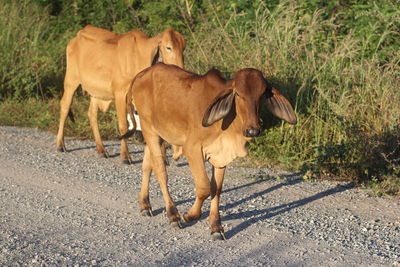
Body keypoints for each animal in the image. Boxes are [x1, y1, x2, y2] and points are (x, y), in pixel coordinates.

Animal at [130, 63, 296, 241]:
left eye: (262, 94)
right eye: (238, 93)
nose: (253, 130)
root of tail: (142, 74)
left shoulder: (221, 155)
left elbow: (216, 189)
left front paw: (216, 226)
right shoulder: (193, 149)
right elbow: (204, 188)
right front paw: (189, 215)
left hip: (155, 134)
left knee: (148, 166)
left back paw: (145, 204)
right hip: (149, 130)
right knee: (161, 171)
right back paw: (173, 215)